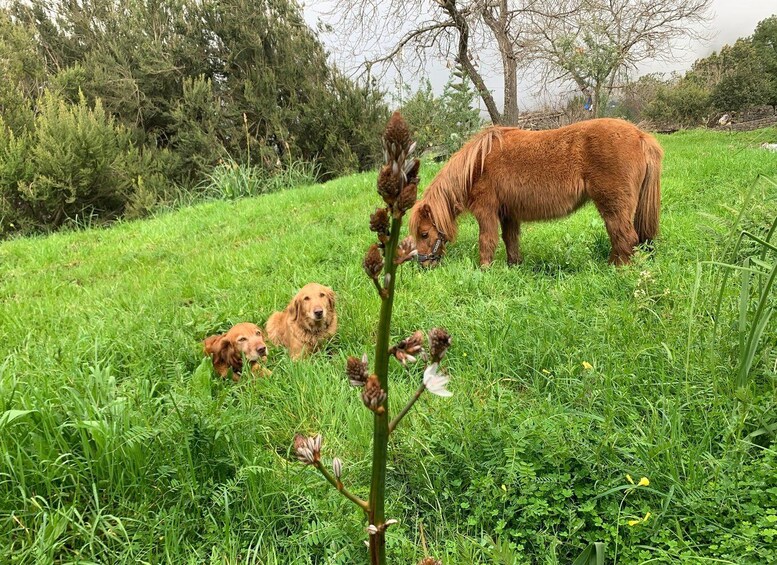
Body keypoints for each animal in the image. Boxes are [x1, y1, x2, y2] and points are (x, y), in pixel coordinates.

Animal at [409, 118, 663, 268]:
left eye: (424, 234)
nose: (423, 265)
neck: (476, 166)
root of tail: (641, 136)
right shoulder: (508, 214)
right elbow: (510, 240)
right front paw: (514, 266)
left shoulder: (486, 212)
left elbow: (487, 241)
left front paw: (484, 270)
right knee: (620, 238)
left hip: (612, 205)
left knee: (625, 238)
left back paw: (617, 269)